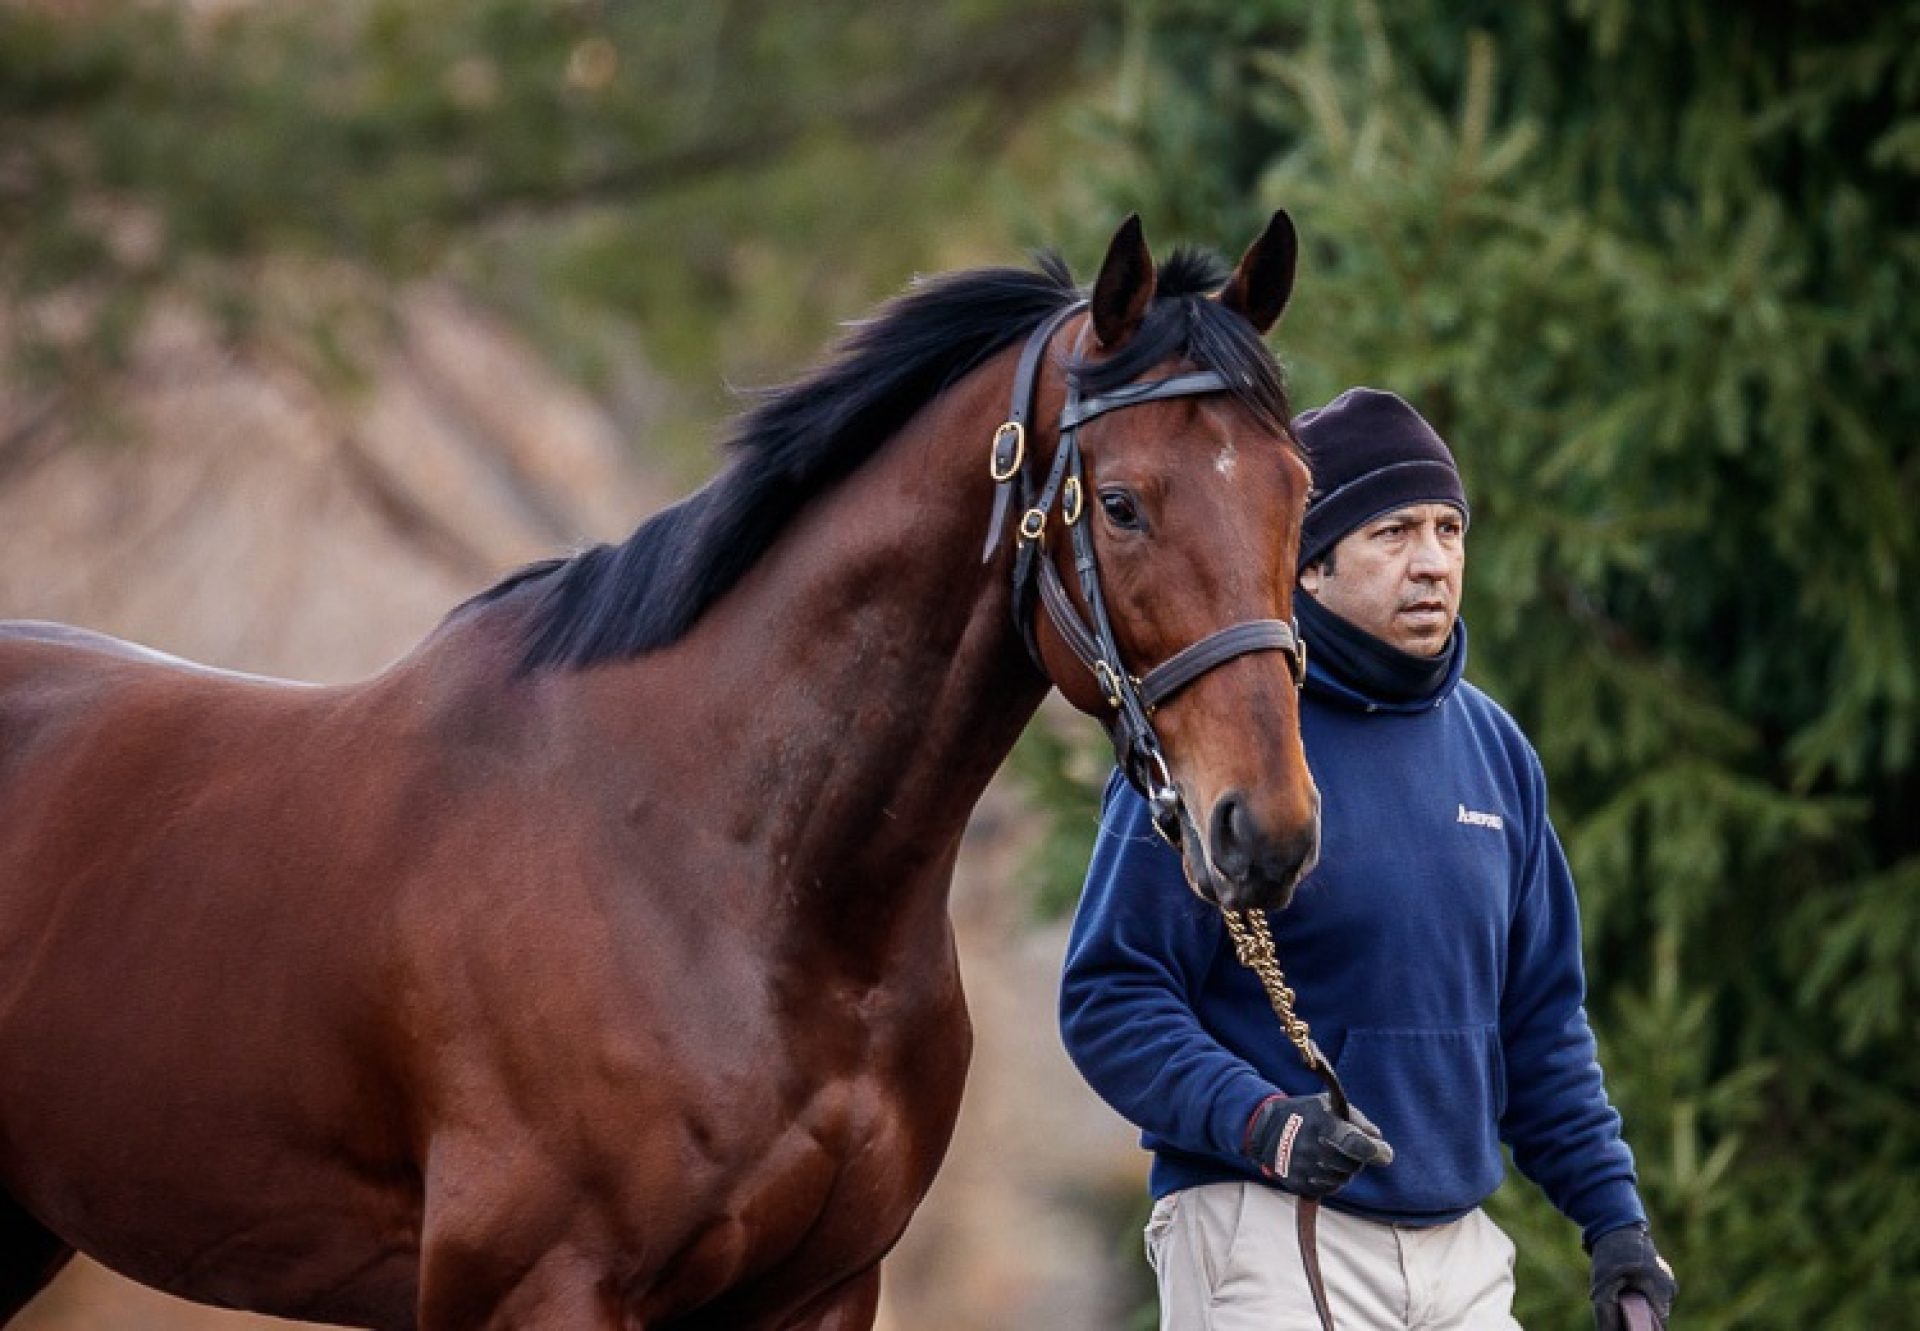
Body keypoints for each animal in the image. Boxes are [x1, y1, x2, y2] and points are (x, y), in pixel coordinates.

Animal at [0, 213, 1320, 1321]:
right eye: (1123, 502)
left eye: (1297, 488)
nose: (1267, 829)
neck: (728, 867)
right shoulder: (543, 1288)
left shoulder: (817, 1293)